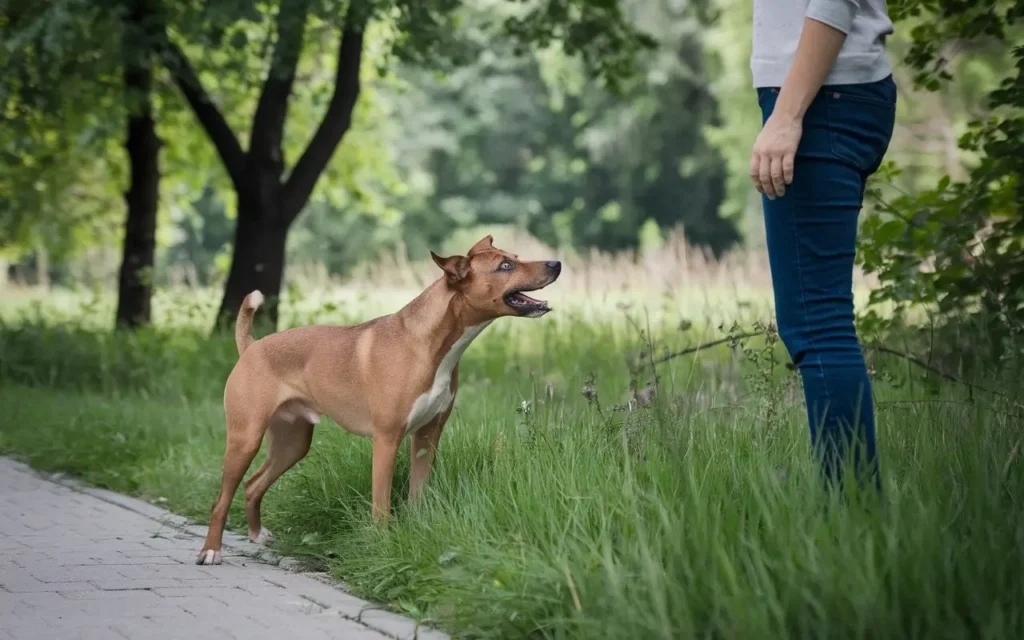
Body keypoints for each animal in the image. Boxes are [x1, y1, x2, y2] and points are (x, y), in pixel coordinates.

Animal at [192, 235, 561, 565]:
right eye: (505, 266)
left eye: (514, 257)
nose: (556, 263)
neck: (429, 344)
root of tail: (252, 347)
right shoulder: (387, 440)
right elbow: (381, 505)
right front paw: (381, 544)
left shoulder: (427, 437)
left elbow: (418, 495)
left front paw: (416, 533)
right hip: (245, 438)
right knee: (221, 500)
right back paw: (210, 551)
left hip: (292, 443)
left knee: (253, 485)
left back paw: (256, 534)